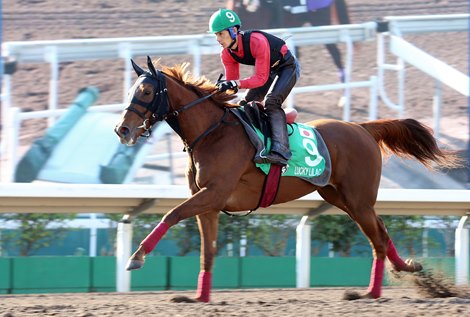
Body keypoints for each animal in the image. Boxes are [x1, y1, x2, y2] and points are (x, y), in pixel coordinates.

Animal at [114, 56, 458, 302]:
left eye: (146, 91)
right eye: (131, 90)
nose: (123, 130)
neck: (211, 133)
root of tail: (362, 128)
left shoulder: (214, 193)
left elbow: (171, 214)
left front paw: (135, 258)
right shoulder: (209, 203)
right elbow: (207, 251)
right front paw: (200, 296)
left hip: (358, 199)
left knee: (379, 238)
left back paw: (375, 291)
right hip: (341, 198)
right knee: (381, 232)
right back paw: (402, 271)